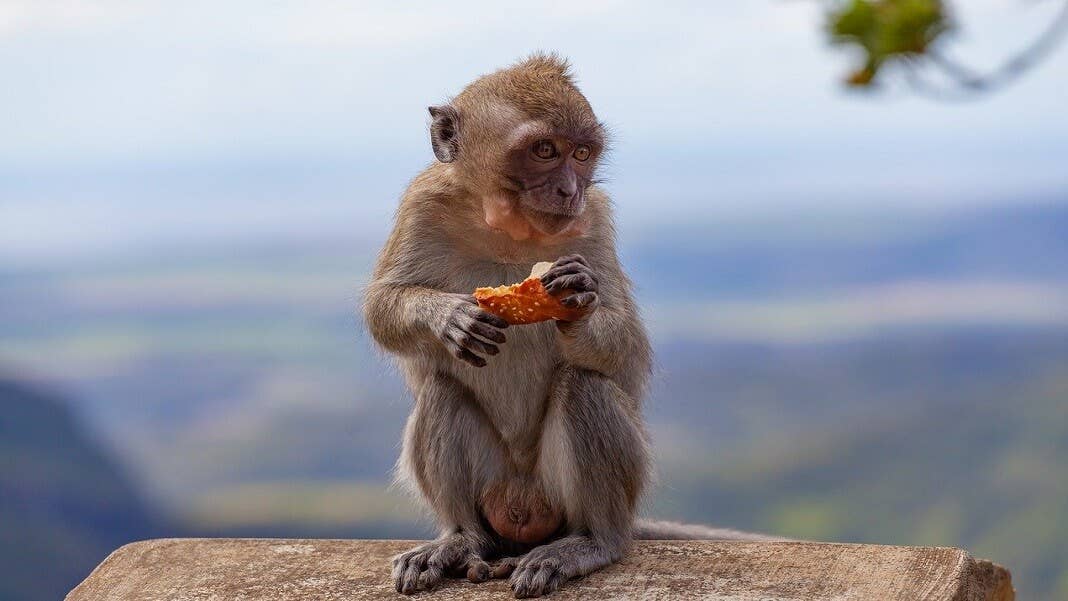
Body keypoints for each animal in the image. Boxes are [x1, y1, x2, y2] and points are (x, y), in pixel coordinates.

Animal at [363, 54, 778, 599]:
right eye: (544, 150)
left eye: (581, 154)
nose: (569, 189)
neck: (509, 230)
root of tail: (522, 508)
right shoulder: (422, 204)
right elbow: (380, 308)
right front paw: (448, 316)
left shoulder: (594, 218)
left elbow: (629, 349)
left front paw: (578, 301)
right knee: (442, 390)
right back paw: (461, 540)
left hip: (596, 489)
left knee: (584, 387)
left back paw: (591, 543)